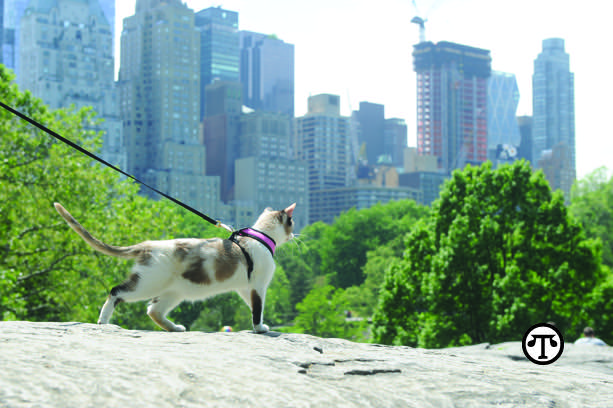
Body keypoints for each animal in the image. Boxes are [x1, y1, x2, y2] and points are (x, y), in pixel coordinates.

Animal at [51, 202, 296, 334]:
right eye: (292, 223)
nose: (295, 235)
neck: (260, 237)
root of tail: (147, 244)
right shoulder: (258, 286)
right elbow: (258, 310)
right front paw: (260, 328)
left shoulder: (245, 288)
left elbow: (253, 307)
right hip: (147, 285)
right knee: (116, 292)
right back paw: (103, 320)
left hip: (174, 292)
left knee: (153, 311)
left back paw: (175, 328)